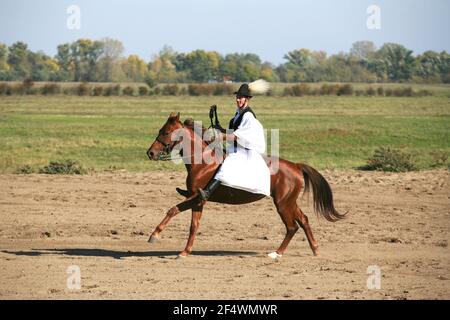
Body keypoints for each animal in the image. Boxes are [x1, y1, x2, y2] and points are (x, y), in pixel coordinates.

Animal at [146, 112, 346, 258]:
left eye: (165, 132)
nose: (150, 153)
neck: (202, 162)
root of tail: (296, 166)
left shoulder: (198, 198)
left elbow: (174, 210)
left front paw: (155, 235)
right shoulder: (198, 201)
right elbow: (191, 224)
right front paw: (184, 250)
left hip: (282, 204)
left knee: (292, 226)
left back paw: (277, 253)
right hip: (289, 202)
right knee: (303, 220)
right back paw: (315, 249)